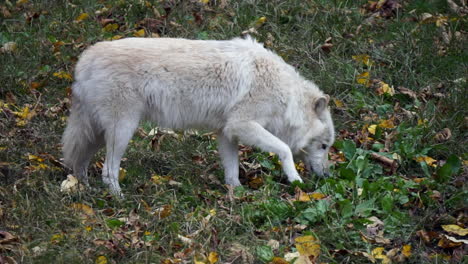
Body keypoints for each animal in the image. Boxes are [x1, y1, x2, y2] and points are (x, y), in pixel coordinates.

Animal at [62, 36, 334, 195]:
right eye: (324, 146)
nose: (327, 175)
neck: (287, 96)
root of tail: (85, 58)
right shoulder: (242, 125)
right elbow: (285, 149)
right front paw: (295, 180)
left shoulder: (227, 133)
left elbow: (232, 168)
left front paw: (236, 194)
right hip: (122, 131)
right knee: (108, 171)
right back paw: (118, 198)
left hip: (98, 133)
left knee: (80, 162)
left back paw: (84, 189)